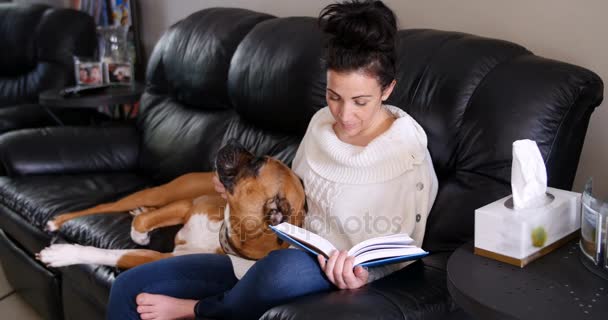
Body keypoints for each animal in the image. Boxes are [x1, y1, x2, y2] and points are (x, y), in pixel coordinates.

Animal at [35, 141, 306, 268]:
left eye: (257, 163)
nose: (234, 141)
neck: (225, 233)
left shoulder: (157, 259)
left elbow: (112, 254)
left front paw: (63, 254)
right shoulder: (186, 205)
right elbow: (142, 223)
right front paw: (140, 234)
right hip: (159, 194)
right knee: (102, 207)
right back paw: (56, 221)